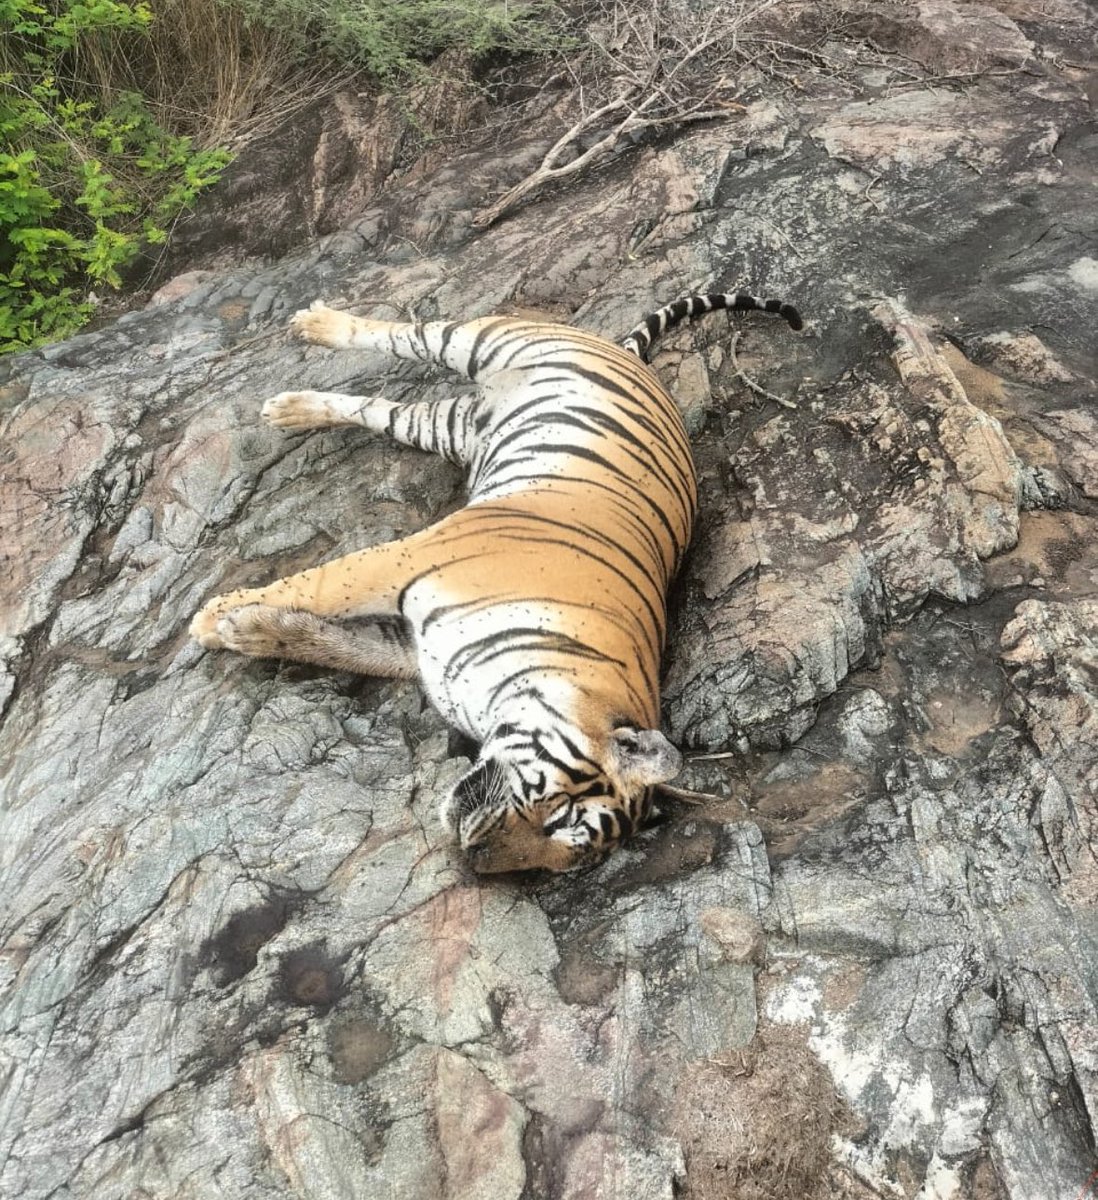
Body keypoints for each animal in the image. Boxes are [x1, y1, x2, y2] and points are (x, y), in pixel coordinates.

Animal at [189, 290, 802, 873]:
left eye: (560, 857)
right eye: (561, 816)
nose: (474, 856)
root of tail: (630, 357)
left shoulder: (412, 649)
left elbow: (333, 644)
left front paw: (249, 630)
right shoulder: (406, 561)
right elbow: (317, 587)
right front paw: (210, 618)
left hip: (445, 427)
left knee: (376, 407)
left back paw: (291, 409)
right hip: (483, 340)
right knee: (401, 333)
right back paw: (316, 326)